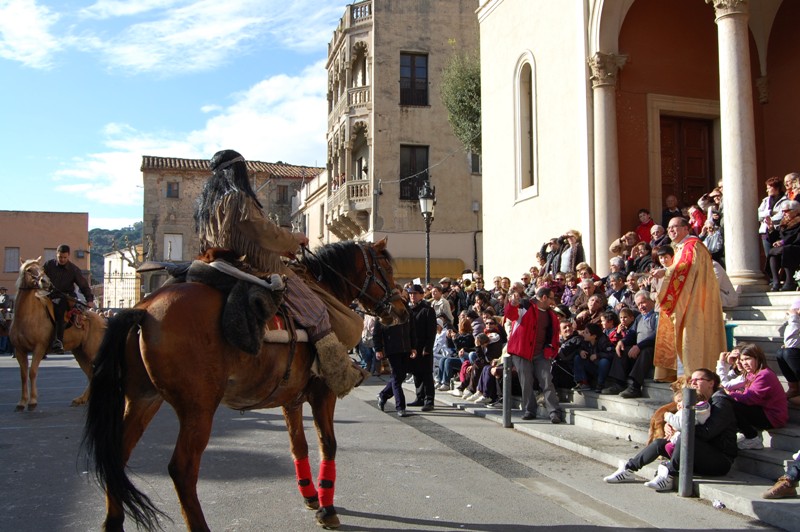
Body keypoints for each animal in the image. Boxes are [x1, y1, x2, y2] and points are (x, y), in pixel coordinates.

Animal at [9, 258, 107, 412]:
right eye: (29, 270)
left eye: (41, 269)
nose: (44, 281)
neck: (27, 316)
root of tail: (102, 320)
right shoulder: (19, 350)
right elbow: (23, 375)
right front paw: (22, 402)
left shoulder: (39, 348)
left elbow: (32, 372)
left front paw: (32, 401)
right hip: (79, 352)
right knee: (91, 374)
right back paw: (82, 399)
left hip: (93, 351)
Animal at [83, 240, 406, 532]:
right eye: (387, 268)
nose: (402, 308)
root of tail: (144, 309)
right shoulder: (322, 393)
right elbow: (328, 444)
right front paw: (327, 509)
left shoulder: (291, 399)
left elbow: (298, 445)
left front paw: (311, 497)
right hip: (198, 409)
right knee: (182, 470)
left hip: (144, 399)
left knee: (118, 455)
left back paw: (113, 523)